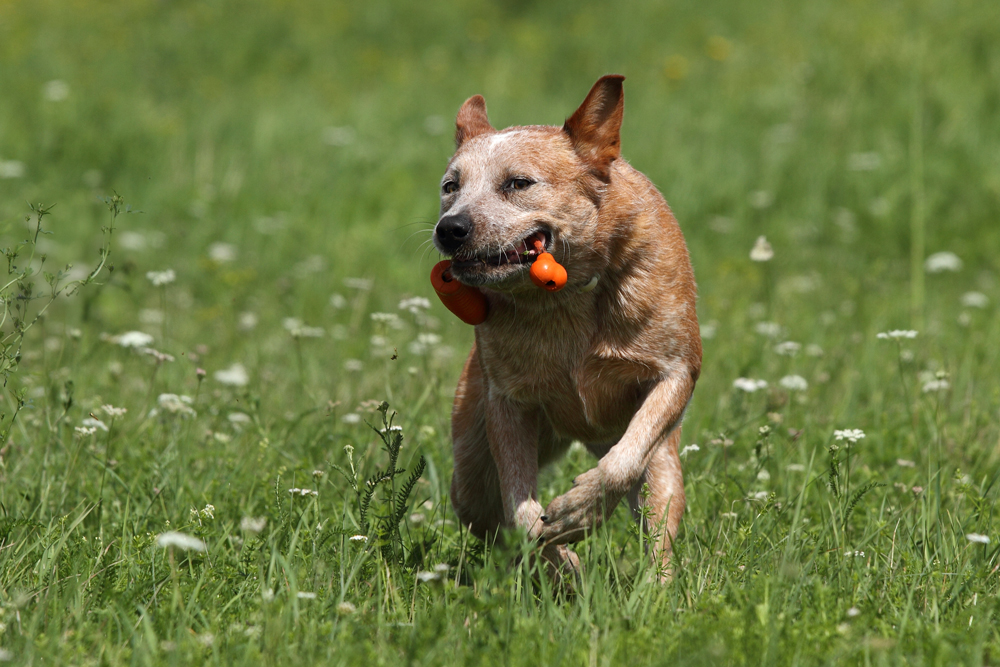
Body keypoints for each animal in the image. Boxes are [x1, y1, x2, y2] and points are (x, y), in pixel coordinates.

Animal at [432, 74, 704, 580]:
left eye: (518, 183)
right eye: (450, 186)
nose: (449, 228)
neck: (566, 297)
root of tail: (584, 435)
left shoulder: (676, 372)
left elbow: (620, 466)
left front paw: (582, 510)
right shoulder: (508, 403)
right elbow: (521, 515)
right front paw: (565, 562)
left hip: (661, 464)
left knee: (655, 517)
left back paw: (655, 589)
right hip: (471, 470)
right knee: (488, 514)